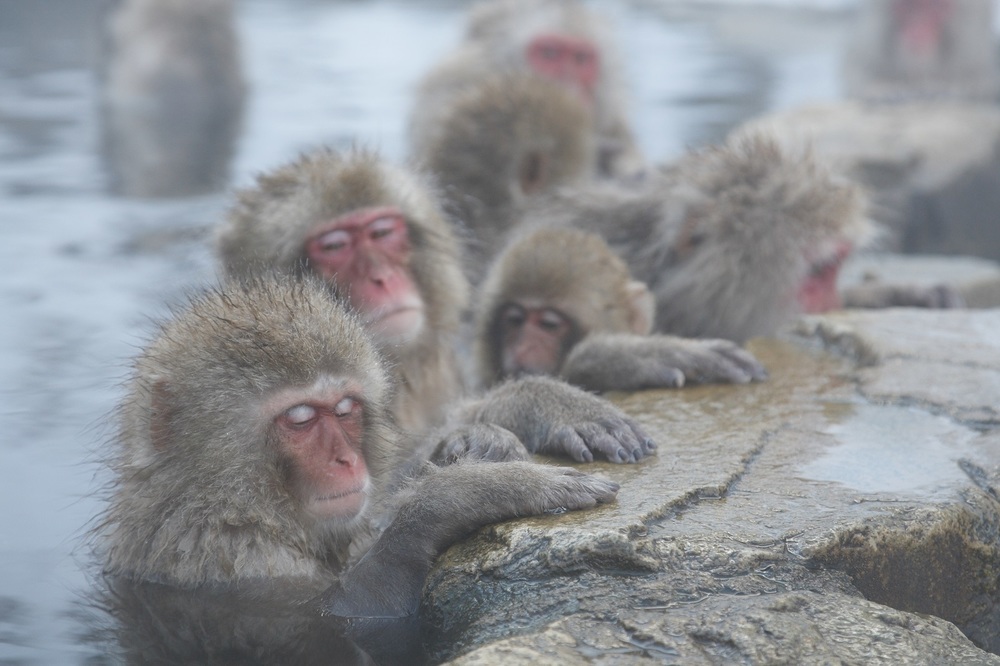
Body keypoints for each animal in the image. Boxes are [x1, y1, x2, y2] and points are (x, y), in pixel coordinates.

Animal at [96, 275, 621, 625]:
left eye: (345, 408)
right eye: (300, 418)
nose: (347, 461)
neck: (226, 502)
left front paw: (521, 411)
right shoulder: (231, 553)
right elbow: (351, 612)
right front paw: (471, 491)